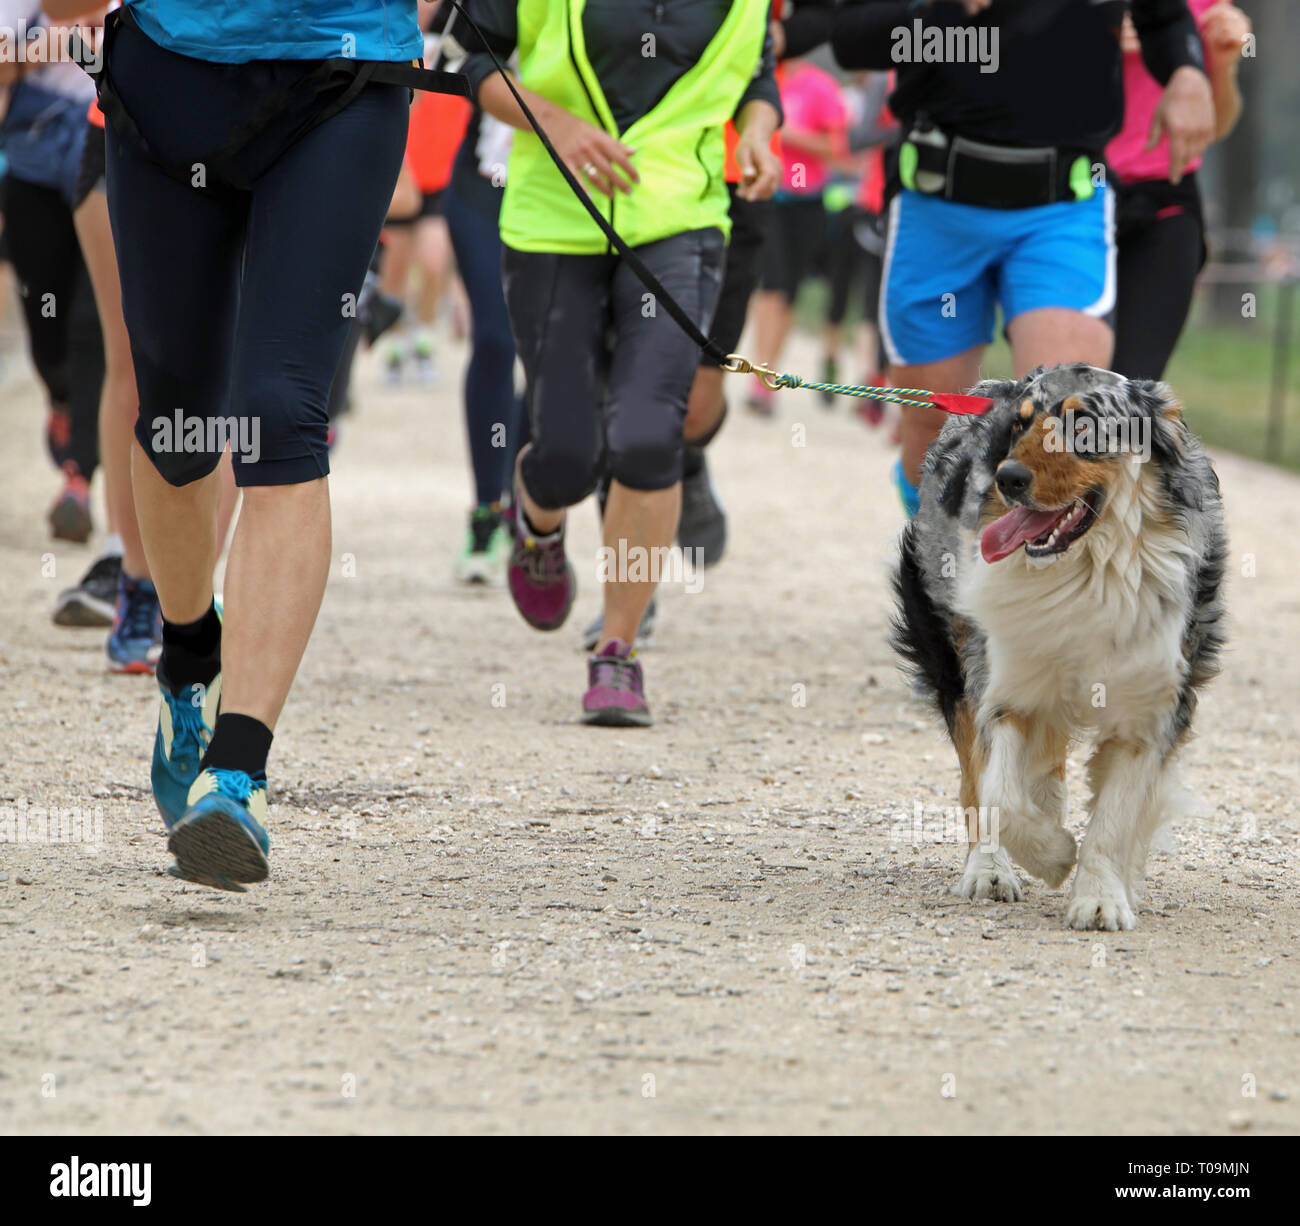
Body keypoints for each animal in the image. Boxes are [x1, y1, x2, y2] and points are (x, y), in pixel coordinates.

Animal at [894, 364, 1227, 930]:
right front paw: (1051, 854)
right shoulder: (1006, 680)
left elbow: (1115, 817)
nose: (1007, 479)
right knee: (980, 777)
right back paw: (990, 868)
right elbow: (999, 793)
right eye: (1020, 425)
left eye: (1084, 425)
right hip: (954, 652)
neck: (1087, 573)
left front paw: (1101, 897)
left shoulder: (1150, 707)